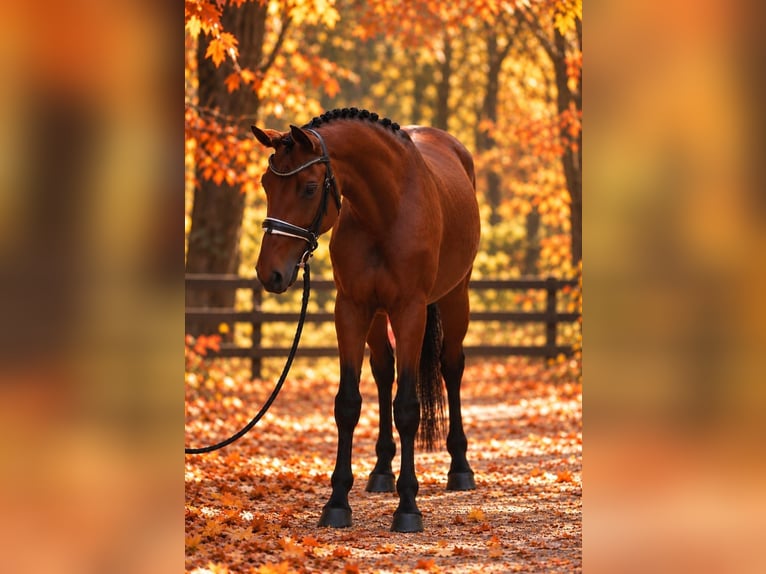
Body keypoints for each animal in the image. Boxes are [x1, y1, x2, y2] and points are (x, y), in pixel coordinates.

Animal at [251, 108, 481, 532]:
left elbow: (407, 407)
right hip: (377, 319)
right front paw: (338, 502)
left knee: (451, 367)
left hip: (456, 298)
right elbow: (348, 404)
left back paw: (460, 468)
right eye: (266, 183)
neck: (384, 212)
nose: (269, 273)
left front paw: (408, 507)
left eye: (309, 188)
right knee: (383, 372)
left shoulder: (410, 311)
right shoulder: (352, 310)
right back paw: (381, 472)